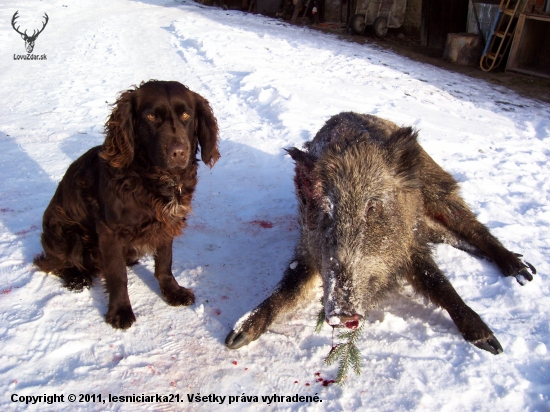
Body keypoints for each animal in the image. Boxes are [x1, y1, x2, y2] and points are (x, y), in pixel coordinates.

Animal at [33, 80, 220, 330]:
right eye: (150, 116)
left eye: (186, 115)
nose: (178, 152)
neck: (154, 179)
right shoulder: (109, 231)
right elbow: (117, 275)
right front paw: (120, 311)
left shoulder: (166, 224)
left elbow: (165, 262)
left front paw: (172, 292)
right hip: (65, 231)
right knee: (54, 261)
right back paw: (76, 277)